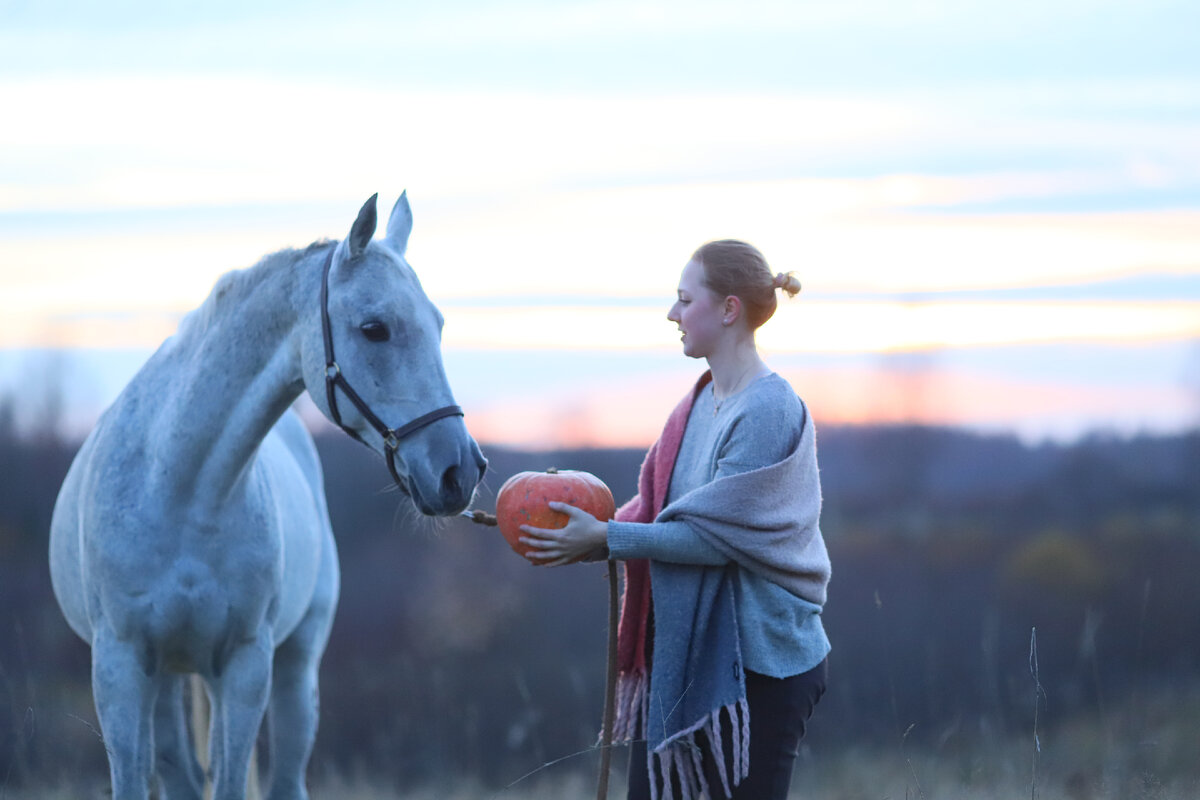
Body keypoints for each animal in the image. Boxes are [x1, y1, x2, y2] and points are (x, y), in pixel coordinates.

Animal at [49, 194, 484, 800]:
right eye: (375, 328)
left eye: (439, 325)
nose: (459, 471)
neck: (183, 491)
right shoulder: (120, 665)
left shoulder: (244, 665)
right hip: (165, 679)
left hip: (293, 668)